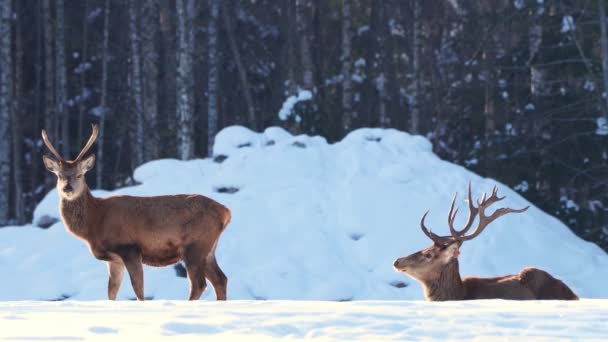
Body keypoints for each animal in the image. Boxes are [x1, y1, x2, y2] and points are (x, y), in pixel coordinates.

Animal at [41, 124, 230, 300]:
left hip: (195, 245)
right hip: (209, 248)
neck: (95, 222)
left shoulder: (129, 248)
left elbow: (138, 289)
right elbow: (111, 292)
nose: (67, 188)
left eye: (80, 174)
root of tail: (226, 212)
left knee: (199, 284)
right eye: (59, 175)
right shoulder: (114, 260)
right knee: (221, 279)